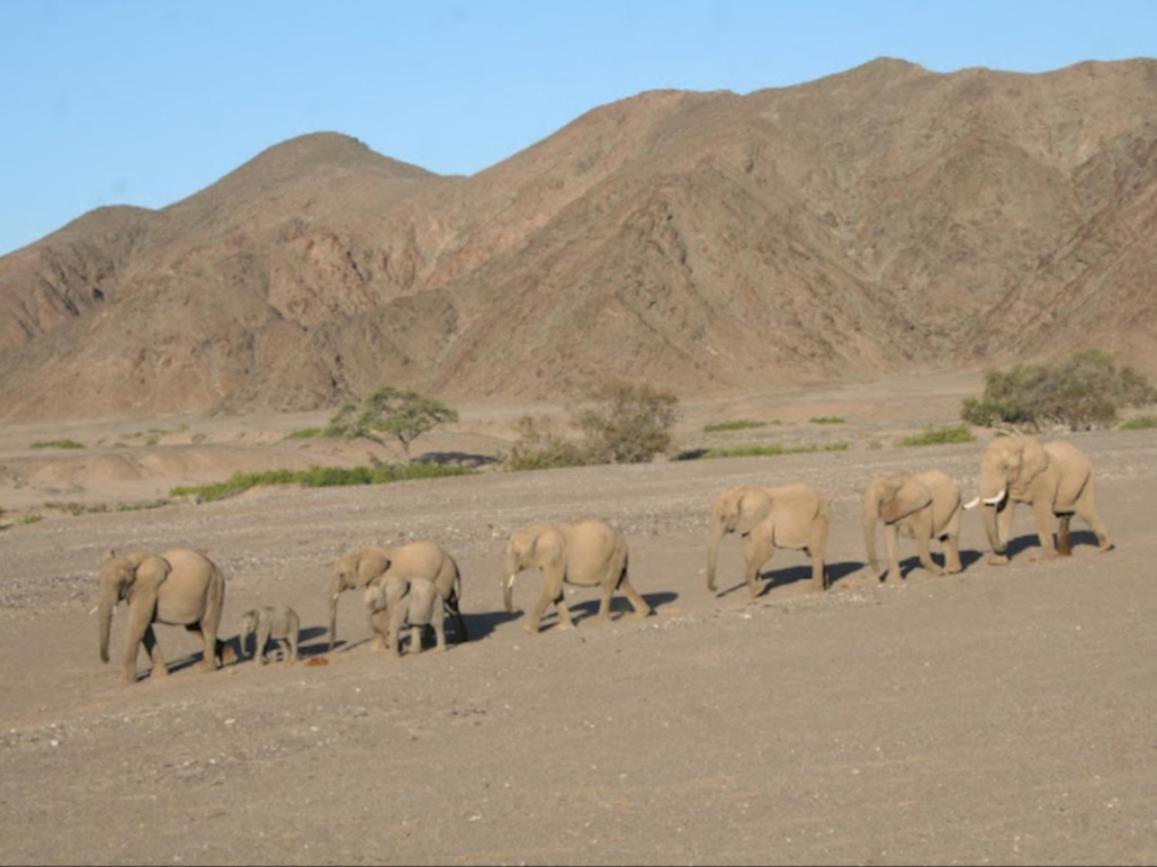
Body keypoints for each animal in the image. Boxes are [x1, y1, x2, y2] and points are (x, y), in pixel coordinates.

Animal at [96, 548, 231, 685]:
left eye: (120, 582)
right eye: (98, 583)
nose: (107, 660)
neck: (130, 560)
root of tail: (215, 567)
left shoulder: (147, 589)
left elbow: (138, 626)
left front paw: (124, 681)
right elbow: (145, 629)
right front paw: (159, 676)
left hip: (214, 587)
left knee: (207, 625)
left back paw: (205, 669)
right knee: (194, 627)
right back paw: (228, 658)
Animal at [326, 541, 465, 648]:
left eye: (341, 575)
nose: (331, 648)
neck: (362, 553)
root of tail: (451, 558)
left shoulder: (386, 577)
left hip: (443, 574)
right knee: (452, 600)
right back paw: (459, 640)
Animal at [504, 518, 657, 634]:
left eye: (518, 554)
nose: (518, 608)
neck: (535, 531)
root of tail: (623, 541)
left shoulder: (556, 557)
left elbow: (552, 590)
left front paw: (528, 630)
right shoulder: (550, 561)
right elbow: (556, 591)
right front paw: (564, 628)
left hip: (615, 555)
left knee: (608, 586)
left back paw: (599, 621)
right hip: (618, 559)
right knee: (622, 584)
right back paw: (640, 614)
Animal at [703, 479, 833, 597]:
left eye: (723, 517)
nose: (716, 587)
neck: (740, 493)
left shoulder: (763, 520)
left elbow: (766, 552)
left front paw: (758, 591)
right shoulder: (748, 523)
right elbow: (748, 551)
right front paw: (760, 589)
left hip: (818, 519)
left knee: (816, 552)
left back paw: (815, 591)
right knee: (811, 552)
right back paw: (826, 587)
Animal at [957, 435, 1110, 564]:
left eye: (1005, 467)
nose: (1004, 545)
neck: (1018, 443)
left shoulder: (1044, 479)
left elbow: (1041, 512)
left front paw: (1049, 558)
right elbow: (1006, 513)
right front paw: (997, 562)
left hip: (1088, 478)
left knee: (1086, 512)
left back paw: (1104, 548)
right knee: (1072, 514)